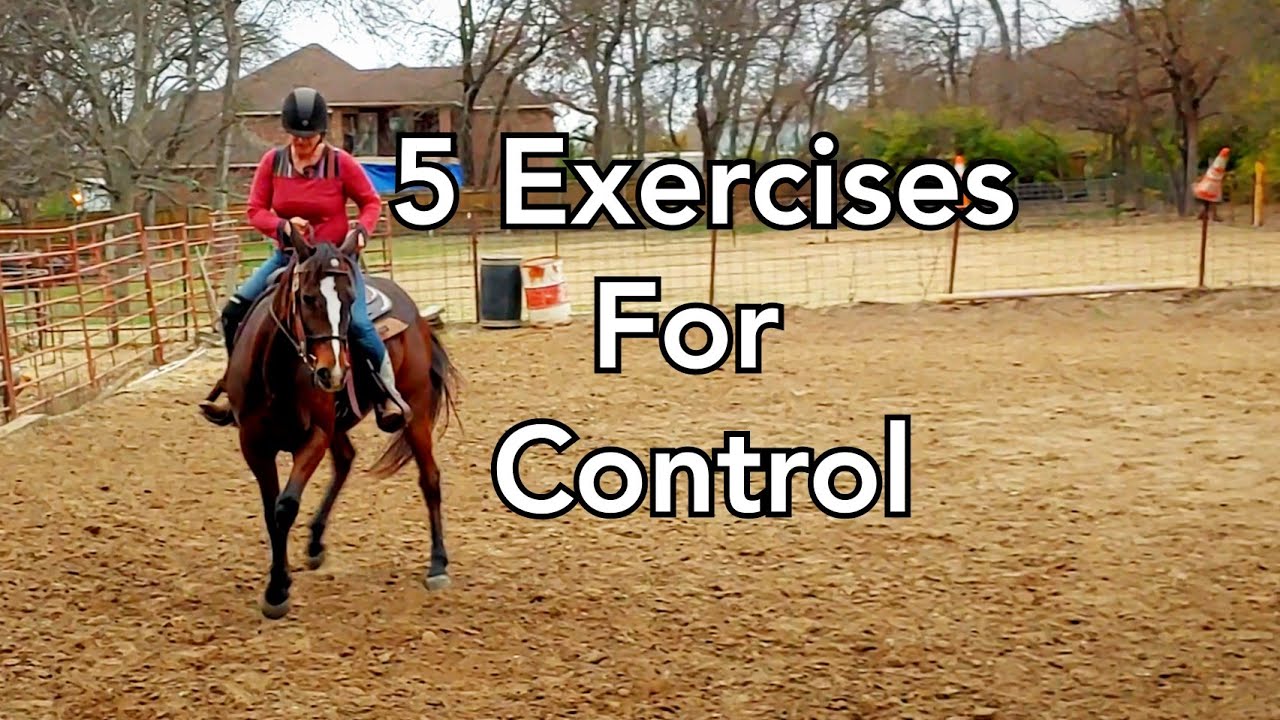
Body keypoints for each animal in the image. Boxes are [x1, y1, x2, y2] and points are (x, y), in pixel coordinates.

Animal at [206, 223, 461, 619]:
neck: (276, 374)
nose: (334, 372)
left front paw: (277, 591)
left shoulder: (316, 435)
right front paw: (279, 582)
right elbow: (270, 511)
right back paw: (315, 542)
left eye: (349, 299)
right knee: (345, 462)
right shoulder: (254, 445)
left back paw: (437, 565)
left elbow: (285, 507)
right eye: (307, 297)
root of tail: (418, 317)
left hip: (415, 412)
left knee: (429, 479)